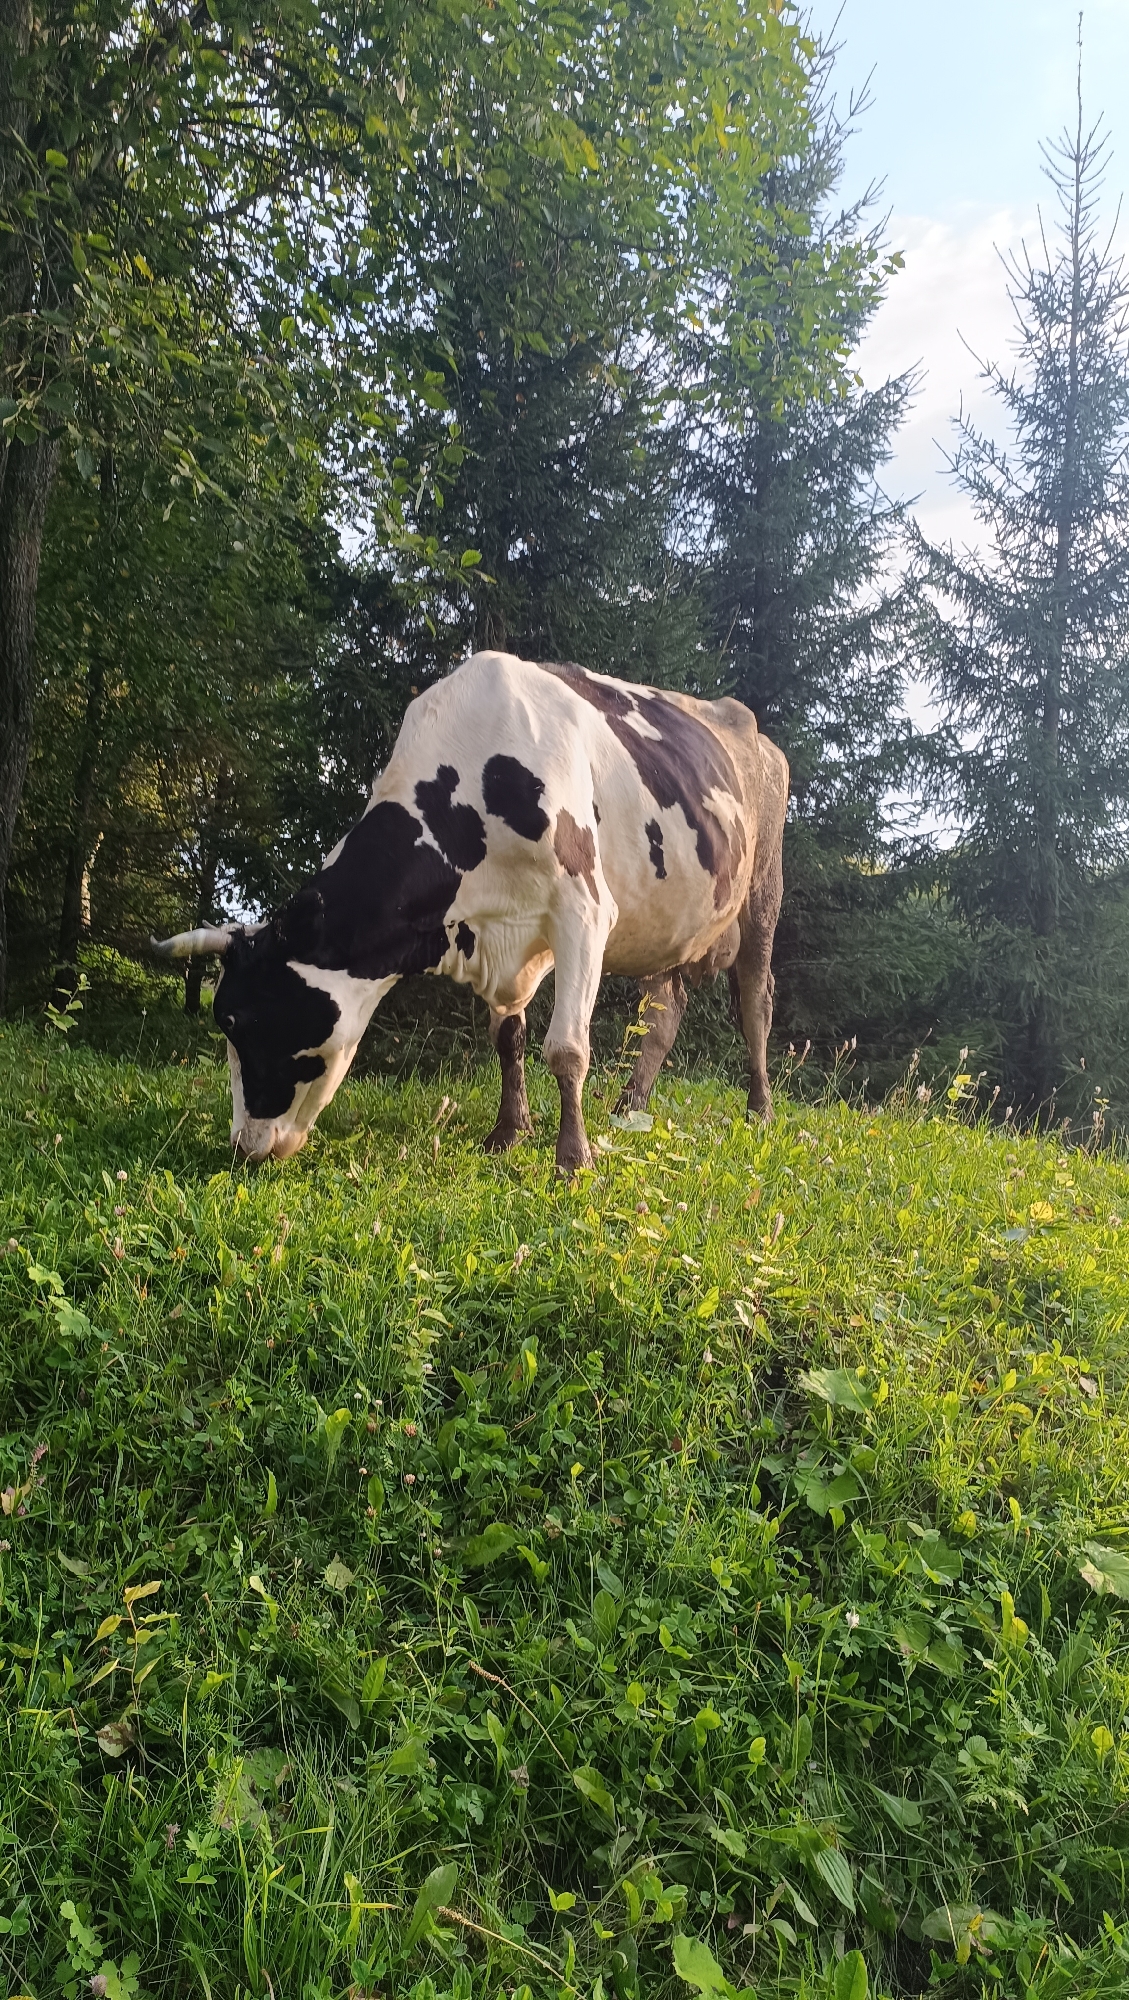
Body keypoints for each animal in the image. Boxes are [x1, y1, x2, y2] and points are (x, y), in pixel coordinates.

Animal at [152, 651, 788, 1172]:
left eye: (239, 1021)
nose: (242, 1145)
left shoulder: (582, 910)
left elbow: (567, 1049)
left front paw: (572, 1158)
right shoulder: (503, 938)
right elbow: (508, 1038)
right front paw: (508, 1133)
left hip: (763, 892)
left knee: (754, 1004)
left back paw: (758, 1111)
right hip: (666, 926)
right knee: (663, 1014)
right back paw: (627, 1109)